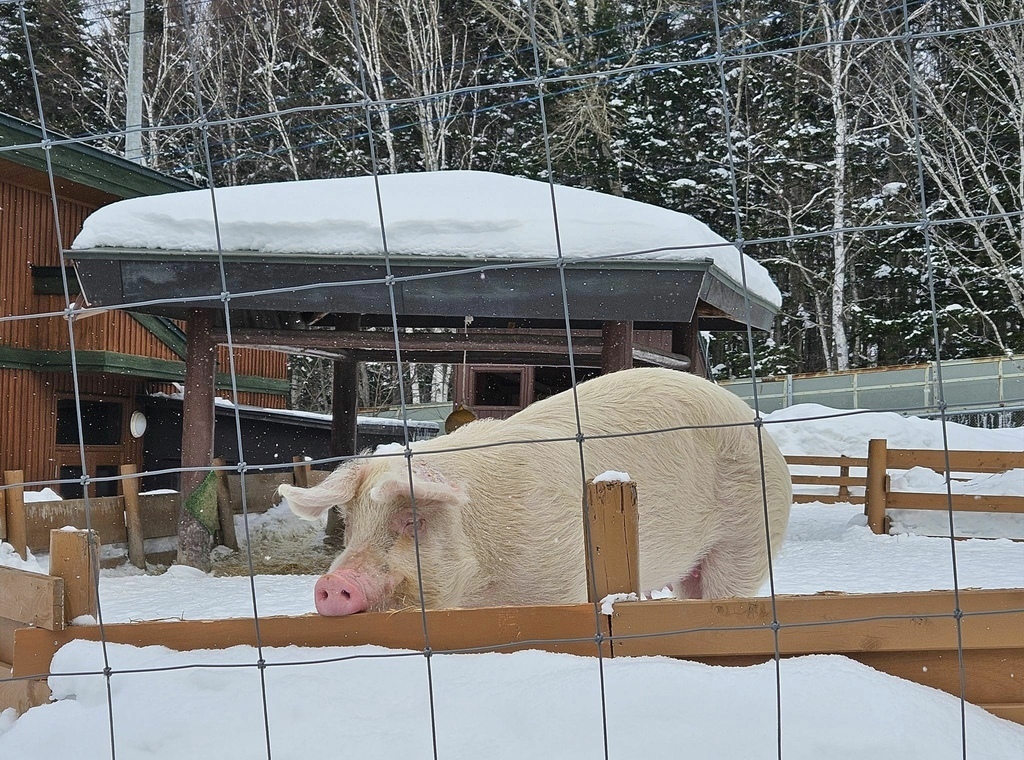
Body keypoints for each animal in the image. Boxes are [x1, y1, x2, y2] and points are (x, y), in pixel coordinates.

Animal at [278, 366, 790, 614]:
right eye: (349, 525)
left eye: (413, 519)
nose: (331, 584)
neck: (483, 580)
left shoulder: (559, 582)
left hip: (746, 539)